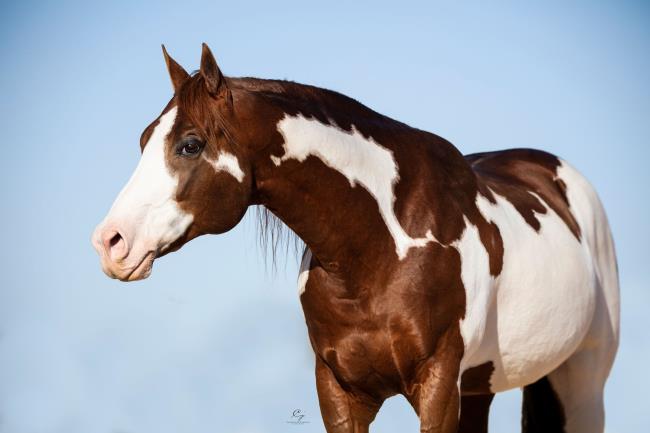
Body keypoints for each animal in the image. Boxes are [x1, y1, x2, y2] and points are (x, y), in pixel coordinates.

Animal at [91, 44, 616, 432]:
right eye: (143, 140)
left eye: (190, 144)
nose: (110, 241)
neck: (377, 253)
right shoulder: (339, 391)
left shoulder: (438, 387)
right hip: (481, 388)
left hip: (581, 383)